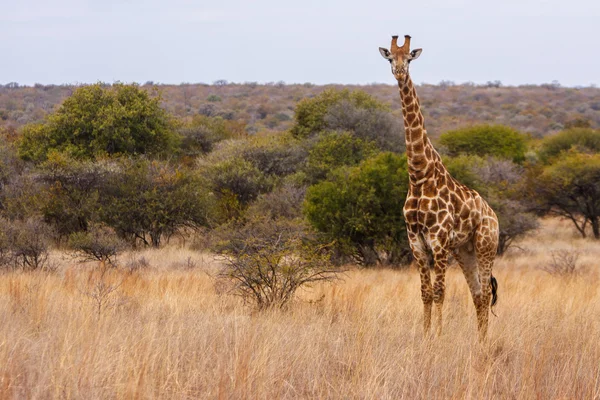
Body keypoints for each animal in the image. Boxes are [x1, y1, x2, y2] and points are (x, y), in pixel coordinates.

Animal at [380, 35, 502, 340]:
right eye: (390, 58)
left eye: (409, 58)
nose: (399, 72)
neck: (419, 175)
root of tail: (493, 215)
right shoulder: (416, 242)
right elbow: (425, 292)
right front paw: (425, 335)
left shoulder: (439, 240)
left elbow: (439, 292)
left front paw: (438, 335)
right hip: (465, 251)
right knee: (478, 294)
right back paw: (479, 341)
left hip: (486, 246)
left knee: (485, 294)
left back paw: (484, 342)